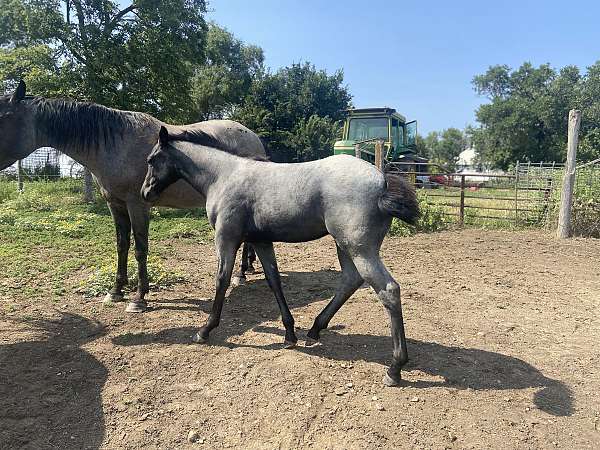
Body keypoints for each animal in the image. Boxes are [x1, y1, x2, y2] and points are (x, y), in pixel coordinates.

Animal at [0, 81, 262, 312]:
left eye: (5, 116)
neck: (115, 143)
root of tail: (253, 137)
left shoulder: (137, 205)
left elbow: (140, 248)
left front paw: (138, 297)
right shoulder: (114, 204)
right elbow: (122, 244)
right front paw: (116, 290)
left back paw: (240, 273)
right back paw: (246, 269)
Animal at [142, 126, 420, 386]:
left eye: (152, 159)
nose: (145, 193)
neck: (223, 175)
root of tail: (382, 180)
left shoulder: (226, 238)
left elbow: (221, 280)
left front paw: (204, 330)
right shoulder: (261, 242)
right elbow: (274, 280)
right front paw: (289, 334)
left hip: (358, 247)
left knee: (388, 289)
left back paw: (395, 368)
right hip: (346, 246)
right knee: (351, 280)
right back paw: (315, 330)